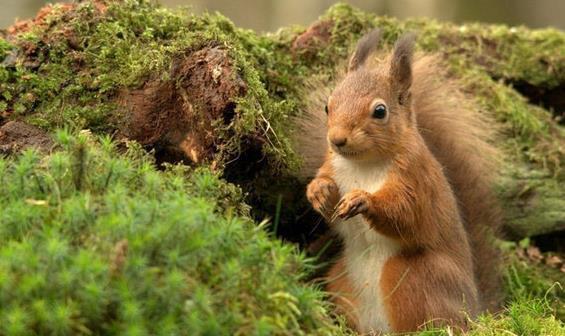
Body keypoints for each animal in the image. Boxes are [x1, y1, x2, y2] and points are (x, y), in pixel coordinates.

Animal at [300, 30, 502, 334]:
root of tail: (473, 309)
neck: (363, 164)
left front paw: (363, 200)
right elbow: (325, 180)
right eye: (327, 105)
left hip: (412, 277)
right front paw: (319, 191)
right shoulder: (332, 164)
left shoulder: (415, 178)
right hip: (340, 280)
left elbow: (406, 213)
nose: (336, 139)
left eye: (380, 111)